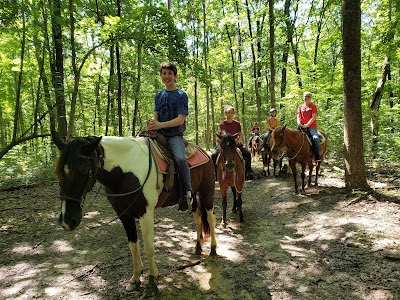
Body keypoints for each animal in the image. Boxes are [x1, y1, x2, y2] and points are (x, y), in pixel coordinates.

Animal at [52, 132, 219, 296]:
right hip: (193, 197)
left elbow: (149, 247)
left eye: (82, 172)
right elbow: (133, 246)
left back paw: (213, 249)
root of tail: (205, 152)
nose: (67, 221)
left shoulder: (146, 213)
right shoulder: (123, 214)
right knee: (198, 218)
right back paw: (198, 247)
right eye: (58, 173)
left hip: (207, 192)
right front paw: (135, 279)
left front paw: (152, 281)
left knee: (211, 219)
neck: (125, 172)